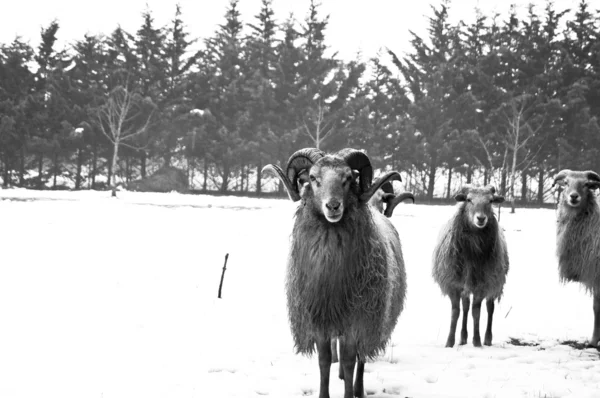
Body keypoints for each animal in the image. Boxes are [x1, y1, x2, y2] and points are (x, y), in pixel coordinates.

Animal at [264, 147, 408, 398]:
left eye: (348, 178)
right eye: (313, 178)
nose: (333, 206)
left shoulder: (356, 320)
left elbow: (350, 361)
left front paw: (349, 392)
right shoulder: (320, 319)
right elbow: (324, 361)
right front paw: (324, 393)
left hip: (372, 317)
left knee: (361, 358)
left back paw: (359, 388)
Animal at [428, 185, 508, 346]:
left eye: (491, 201)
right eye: (469, 199)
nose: (481, 218)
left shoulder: (482, 284)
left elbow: (476, 312)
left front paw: (477, 342)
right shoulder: (453, 284)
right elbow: (456, 312)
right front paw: (449, 342)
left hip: (495, 282)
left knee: (490, 308)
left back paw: (487, 339)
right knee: (465, 307)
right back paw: (463, 337)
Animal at [552, 169, 600, 346]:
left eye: (586, 184)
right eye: (566, 182)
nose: (573, 197)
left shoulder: (595, 274)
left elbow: (596, 308)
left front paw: (593, 341)